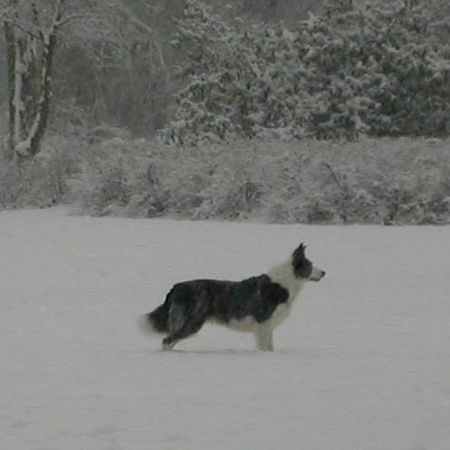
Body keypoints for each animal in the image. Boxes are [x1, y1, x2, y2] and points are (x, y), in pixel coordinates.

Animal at [139, 243, 326, 352]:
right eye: (310, 265)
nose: (324, 272)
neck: (286, 282)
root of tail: (176, 287)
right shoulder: (263, 322)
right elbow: (264, 346)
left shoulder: (268, 325)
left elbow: (270, 346)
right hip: (191, 321)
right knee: (167, 340)